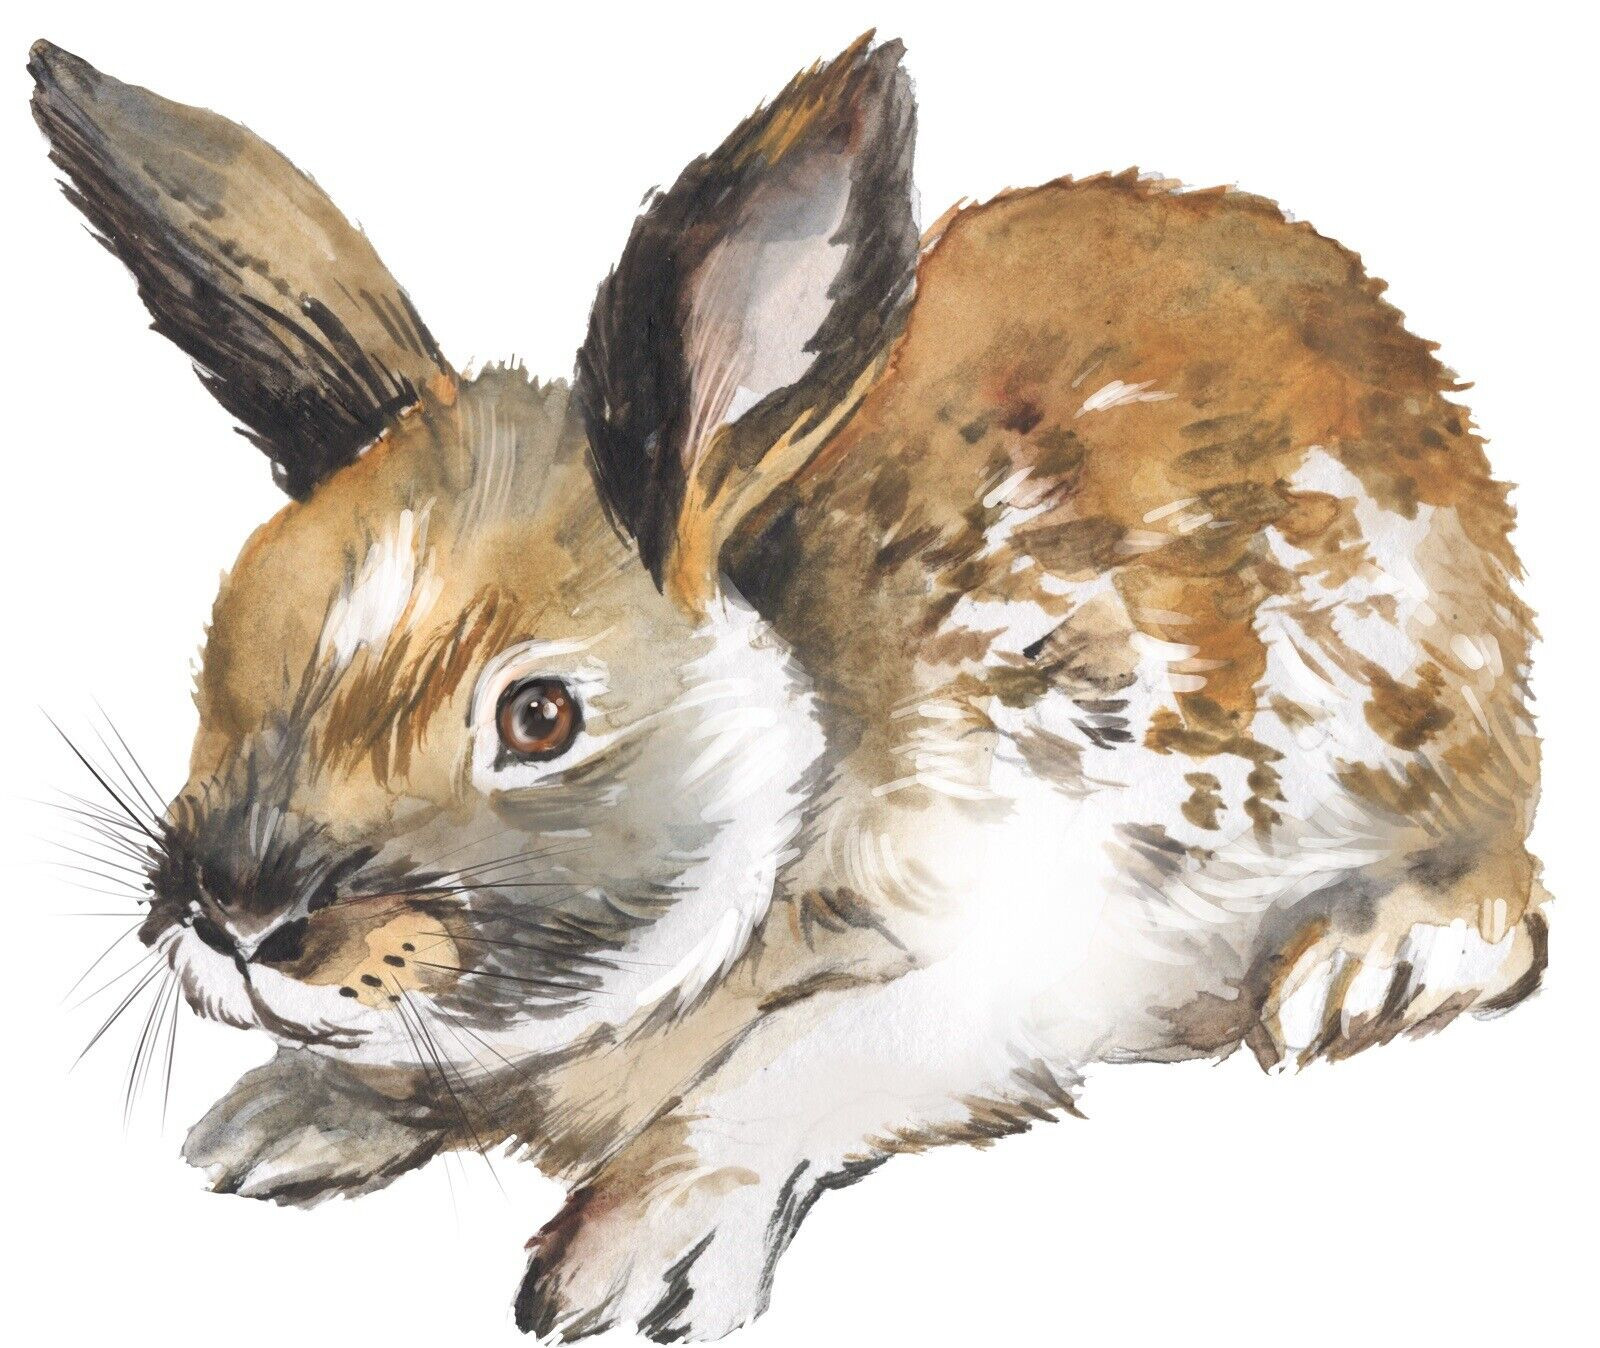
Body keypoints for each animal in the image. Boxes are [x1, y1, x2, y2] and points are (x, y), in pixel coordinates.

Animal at [29, 29, 1547, 1343]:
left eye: (539, 717)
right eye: (226, 644)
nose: (237, 915)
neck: (800, 767)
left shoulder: (1028, 947)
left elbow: (802, 1055)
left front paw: (627, 1260)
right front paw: (285, 1119)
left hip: (1419, 736)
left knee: (1508, 894)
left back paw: (1364, 968)